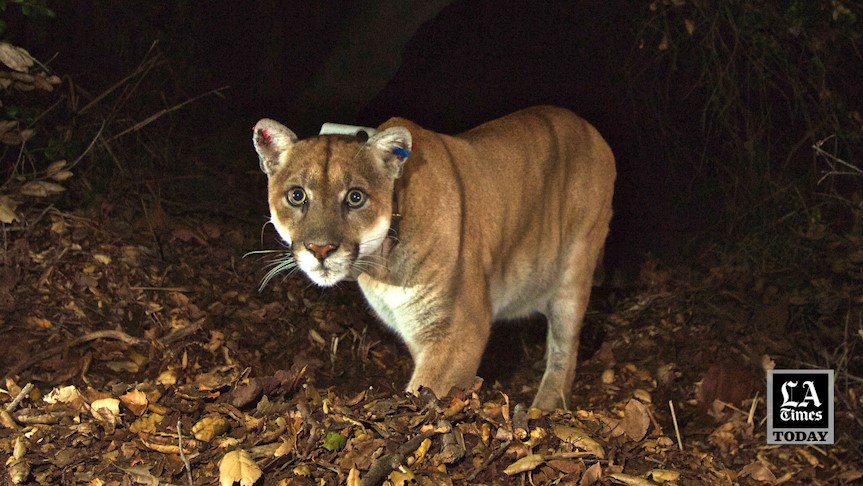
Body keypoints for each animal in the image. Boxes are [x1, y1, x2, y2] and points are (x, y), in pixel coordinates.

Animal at [253, 106, 616, 410]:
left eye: (355, 197)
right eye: (297, 195)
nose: (320, 249)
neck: (380, 266)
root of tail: (591, 129)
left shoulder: (458, 331)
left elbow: (426, 392)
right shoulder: (416, 328)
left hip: (574, 270)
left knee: (564, 351)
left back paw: (544, 408)